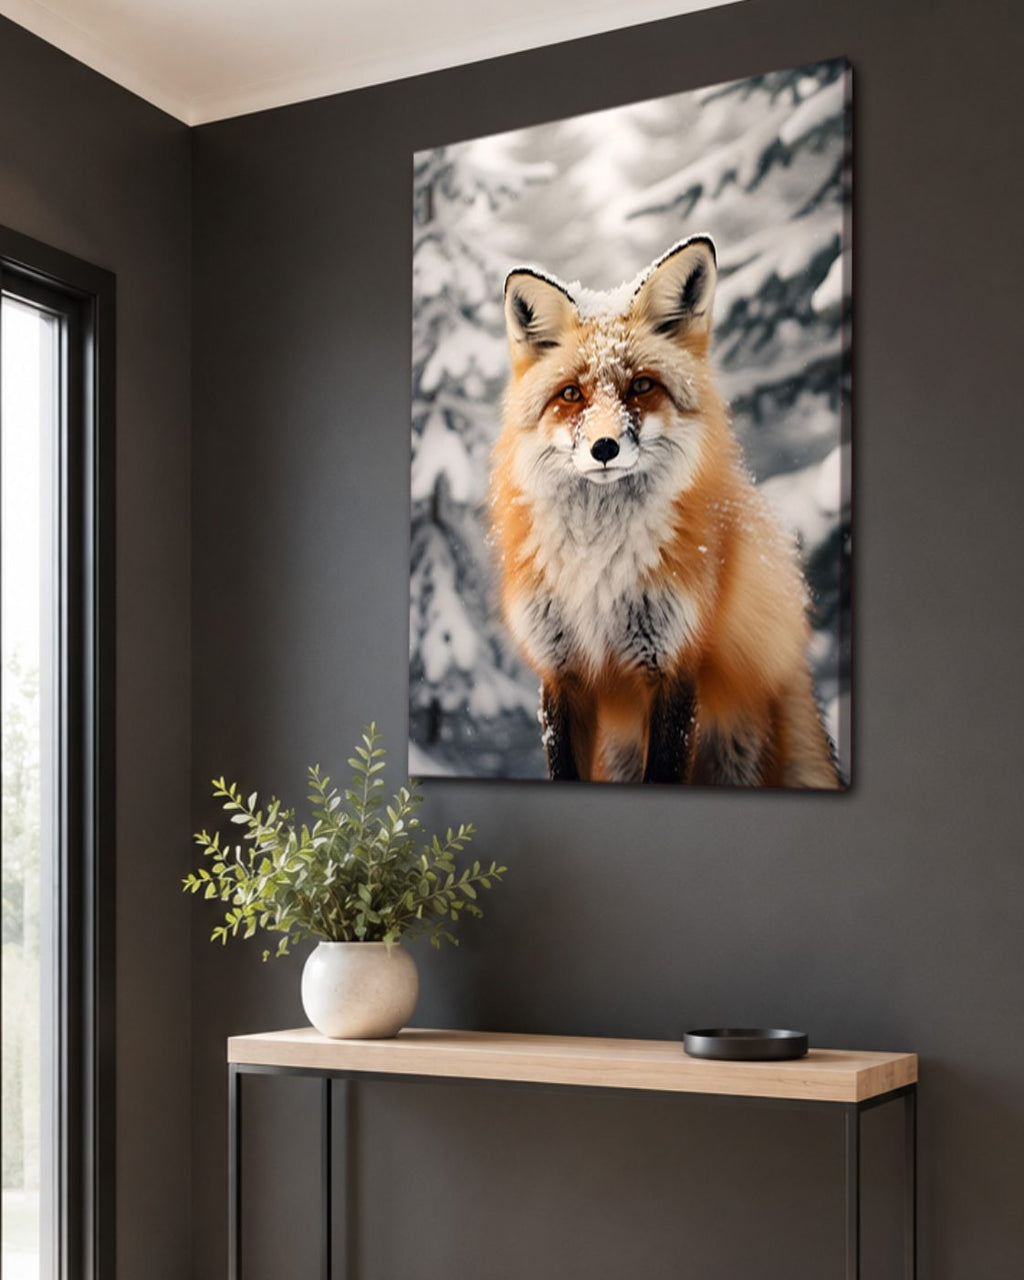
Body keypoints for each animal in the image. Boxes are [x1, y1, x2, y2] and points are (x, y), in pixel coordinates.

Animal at [489, 236, 841, 787]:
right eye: (571, 394)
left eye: (641, 386)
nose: (605, 448)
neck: (599, 566)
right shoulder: (560, 670)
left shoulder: (674, 663)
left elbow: (665, 769)